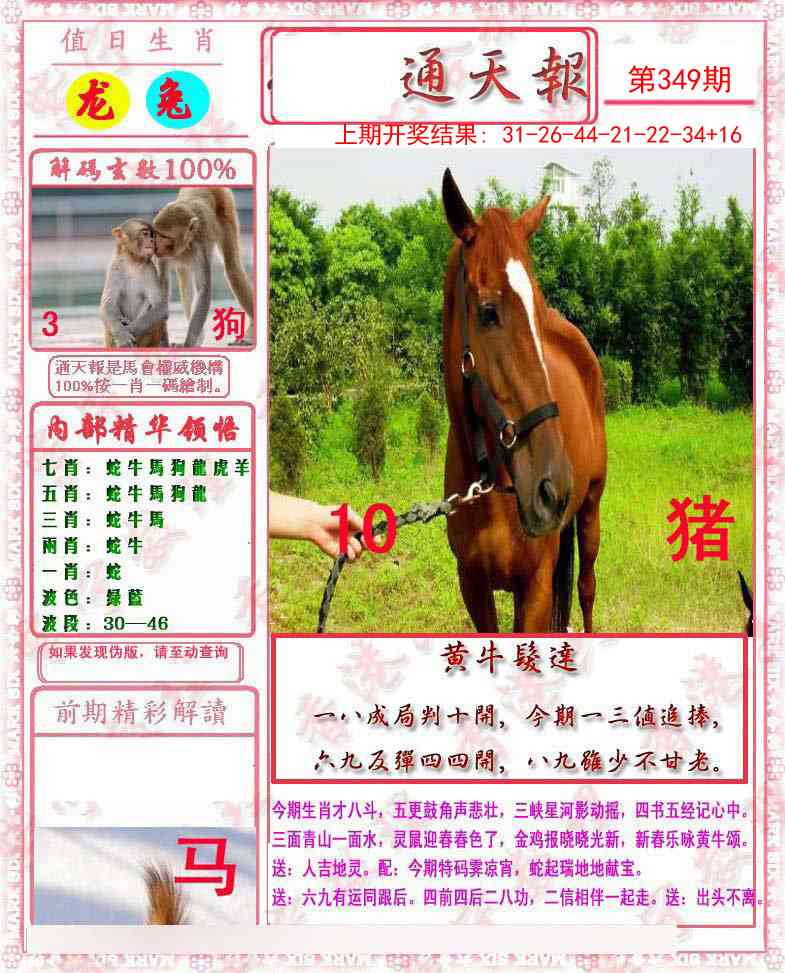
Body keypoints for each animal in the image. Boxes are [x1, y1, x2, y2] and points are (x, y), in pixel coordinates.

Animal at [441, 169, 607, 633]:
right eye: (487, 311)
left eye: (537, 307)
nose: (552, 488)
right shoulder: (473, 586)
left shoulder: (533, 588)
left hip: (591, 509)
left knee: (586, 588)